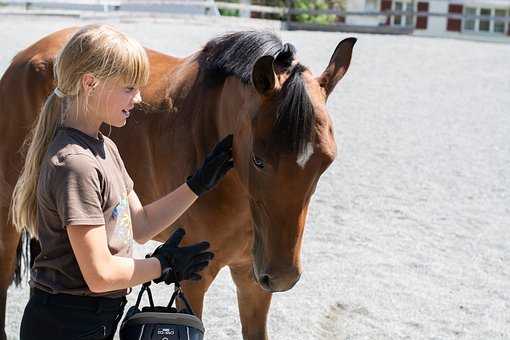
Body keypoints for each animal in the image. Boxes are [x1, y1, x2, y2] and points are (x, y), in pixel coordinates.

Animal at [0, 27, 354, 340]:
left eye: (327, 161)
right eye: (258, 160)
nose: (282, 276)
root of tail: (27, 57)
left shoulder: (251, 279)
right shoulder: (195, 281)